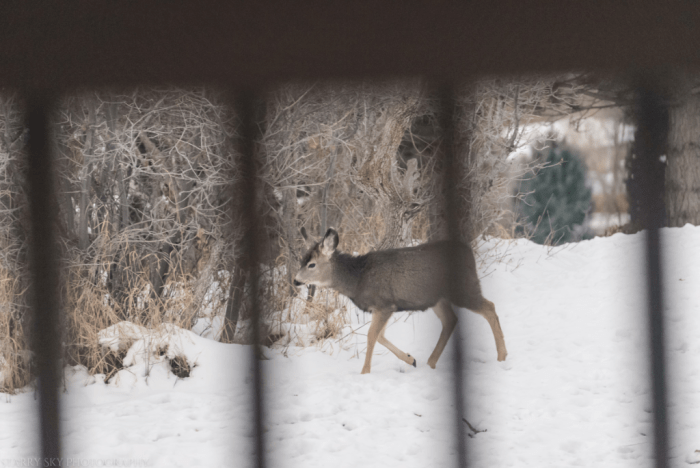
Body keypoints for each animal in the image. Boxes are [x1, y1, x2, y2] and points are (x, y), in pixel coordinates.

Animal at [294, 228, 507, 374]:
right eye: (302, 260)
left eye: (312, 264)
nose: (295, 280)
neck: (357, 279)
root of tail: (469, 252)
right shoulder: (385, 307)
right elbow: (380, 336)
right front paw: (410, 359)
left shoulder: (384, 304)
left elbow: (372, 336)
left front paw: (364, 372)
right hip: (438, 298)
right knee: (451, 320)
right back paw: (430, 362)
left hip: (463, 288)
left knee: (489, 307)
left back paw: (502, 356)